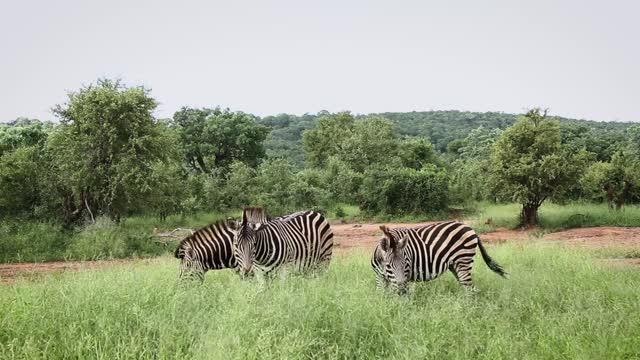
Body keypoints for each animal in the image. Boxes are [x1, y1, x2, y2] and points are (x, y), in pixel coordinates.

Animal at [370, 221, 504, 294]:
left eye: (406, 264)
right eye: (388, 265)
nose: (402, 290)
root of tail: (471, 228)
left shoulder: (405, 277)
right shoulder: (379, 277)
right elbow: (382, 295)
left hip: (463, 260)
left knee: (469, 288)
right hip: (454, 265)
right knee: (469, 288)